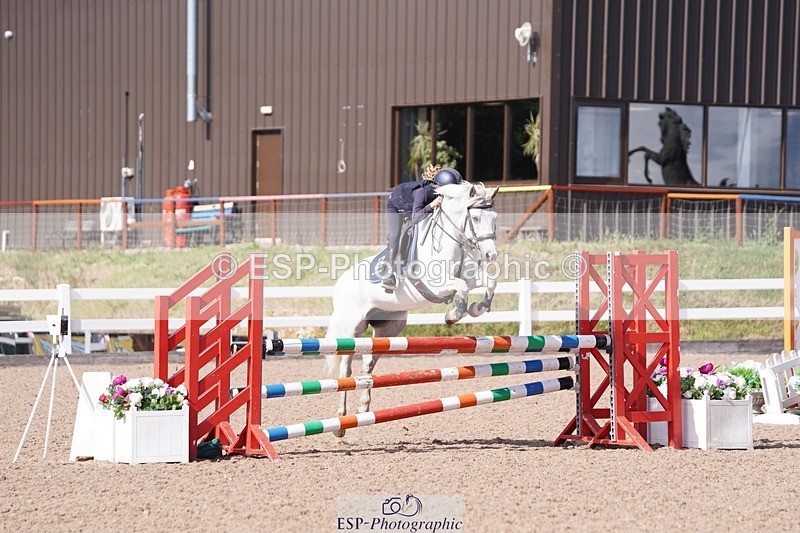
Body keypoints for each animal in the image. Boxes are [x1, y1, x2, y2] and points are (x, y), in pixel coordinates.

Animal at [324, 181, 500, 437]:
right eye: (475, 218)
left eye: (494, 217)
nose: (491, 255)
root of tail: (340, 284)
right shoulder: (437, 284)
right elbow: (462, 287)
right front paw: (453, 314)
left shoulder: (472, 276)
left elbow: (488, 282)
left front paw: (478, 308)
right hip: (351, 328)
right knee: (345, 370)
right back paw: (340, 421)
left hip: (389, 329)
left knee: (367, 363)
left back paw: (364, 409)